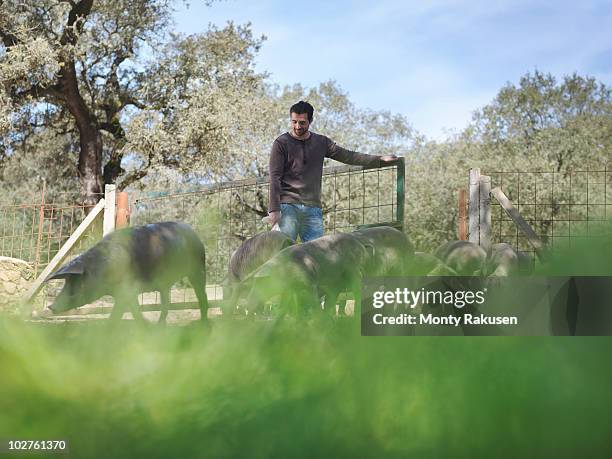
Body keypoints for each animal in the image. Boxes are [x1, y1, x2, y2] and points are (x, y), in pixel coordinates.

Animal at [44, 222, 208, 324]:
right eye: (66, 281)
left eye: (78, 282)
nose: (51, 307)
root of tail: (193, 232)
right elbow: (132, 310)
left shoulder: (127, 288)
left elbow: (120, 312)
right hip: (165, 283)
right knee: (166, 304)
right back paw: (160, 326)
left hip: (198, 268)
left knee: (201, 296)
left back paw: (203, 325)